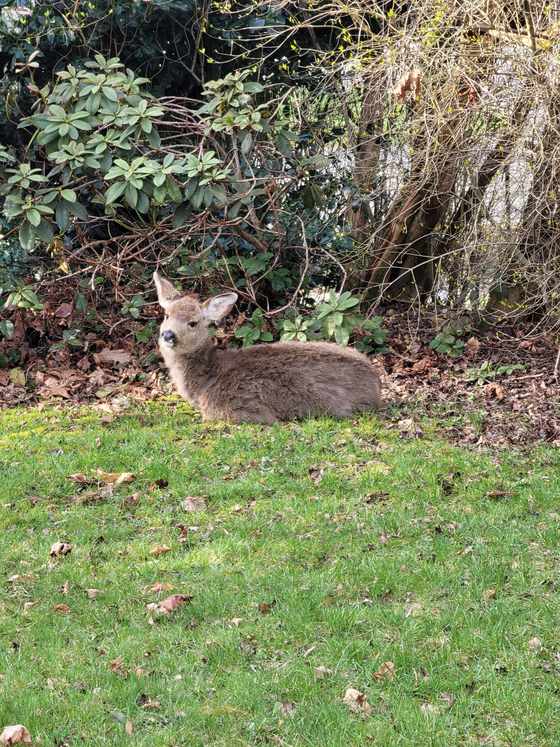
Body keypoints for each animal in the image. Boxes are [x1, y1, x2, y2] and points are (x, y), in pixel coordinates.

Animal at [153, 272, 382, 424]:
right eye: (166, 315)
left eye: (193, 323)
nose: (168, 335)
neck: (206, 381)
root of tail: (377, 383)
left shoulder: (239, 410)